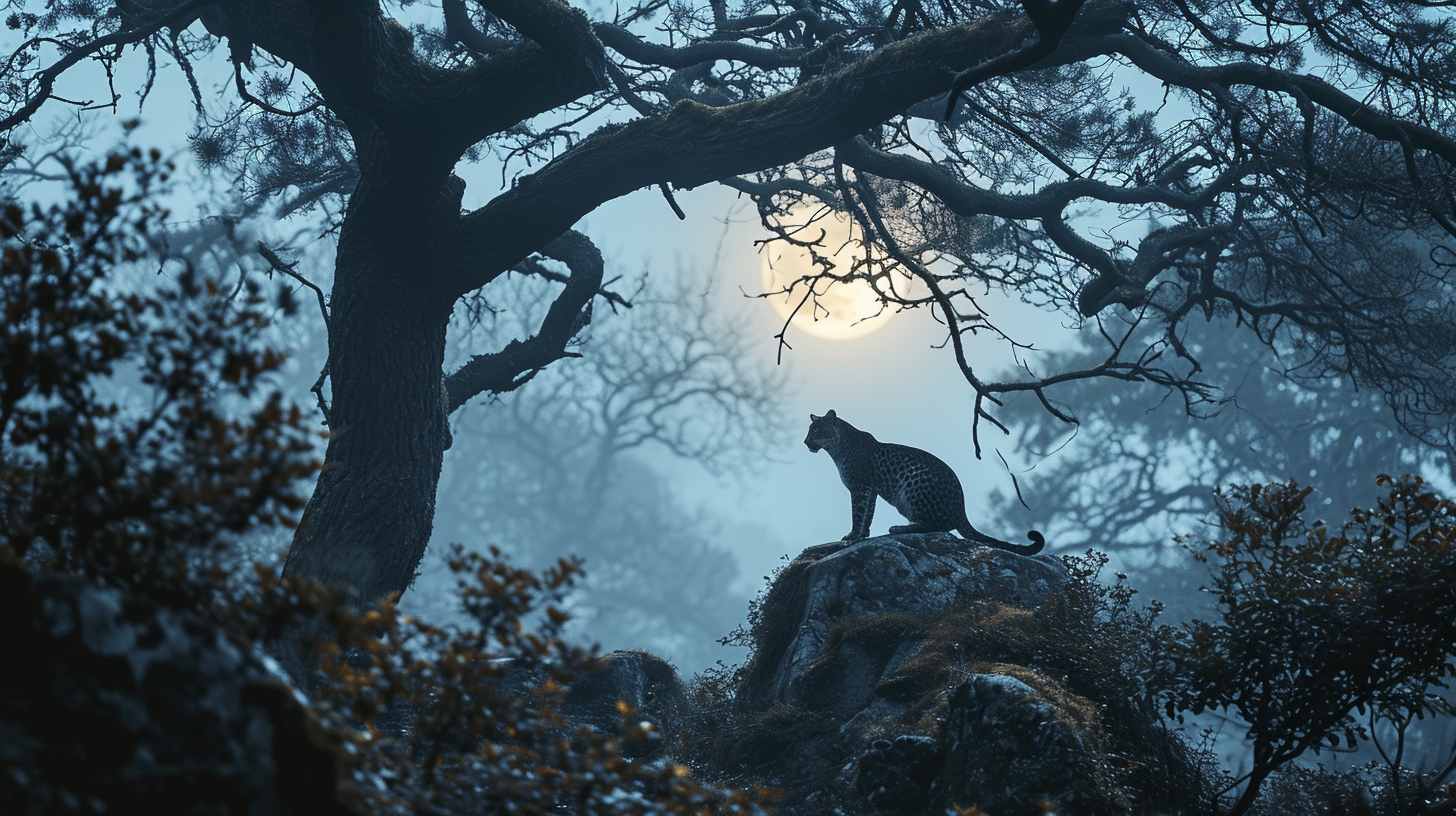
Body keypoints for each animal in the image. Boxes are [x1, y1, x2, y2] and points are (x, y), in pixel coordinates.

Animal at [804, 410, 1045, 555]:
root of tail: (961, 510)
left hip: (914, 482)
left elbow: (858, 513)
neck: (838, 449)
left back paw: (900, 528)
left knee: (938, 526)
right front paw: (862, 535)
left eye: (818, 430)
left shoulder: (860, 487)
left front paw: (851, 537)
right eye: (809, 431)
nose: (806, 442)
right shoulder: (870, 490)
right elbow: (868, 514)